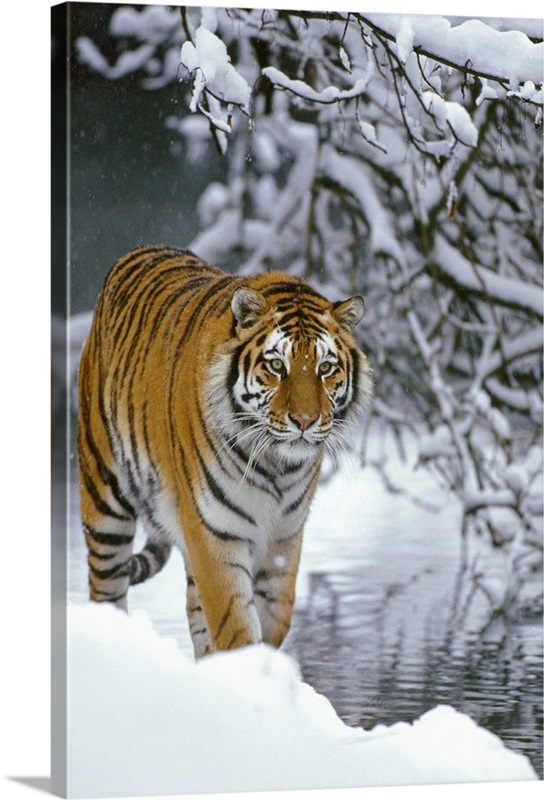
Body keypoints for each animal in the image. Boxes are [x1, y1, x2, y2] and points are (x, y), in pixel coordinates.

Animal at [77, 244, 374, 656]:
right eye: (276, 366)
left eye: (326, 368)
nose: (304, 420)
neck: (277, 465)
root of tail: (138, 251)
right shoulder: (214, 533)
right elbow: (236, 627)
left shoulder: (284, 537)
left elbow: (273, 619)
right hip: (104, 503)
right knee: (106, 591)